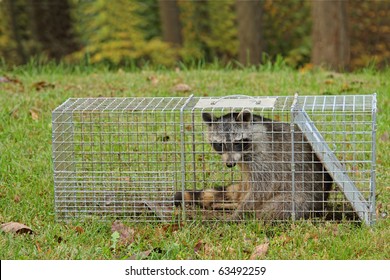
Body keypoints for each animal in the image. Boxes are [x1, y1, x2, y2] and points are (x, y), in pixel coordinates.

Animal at [175, 110, 334, 221]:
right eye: (219, 144)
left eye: (237, 142)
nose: (230, 164)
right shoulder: (244, 165)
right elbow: (247, 186)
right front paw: (237, 205)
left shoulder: (264, 154)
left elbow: (263, 188)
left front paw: (238, 213)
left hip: (303, 198)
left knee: (274, 209)